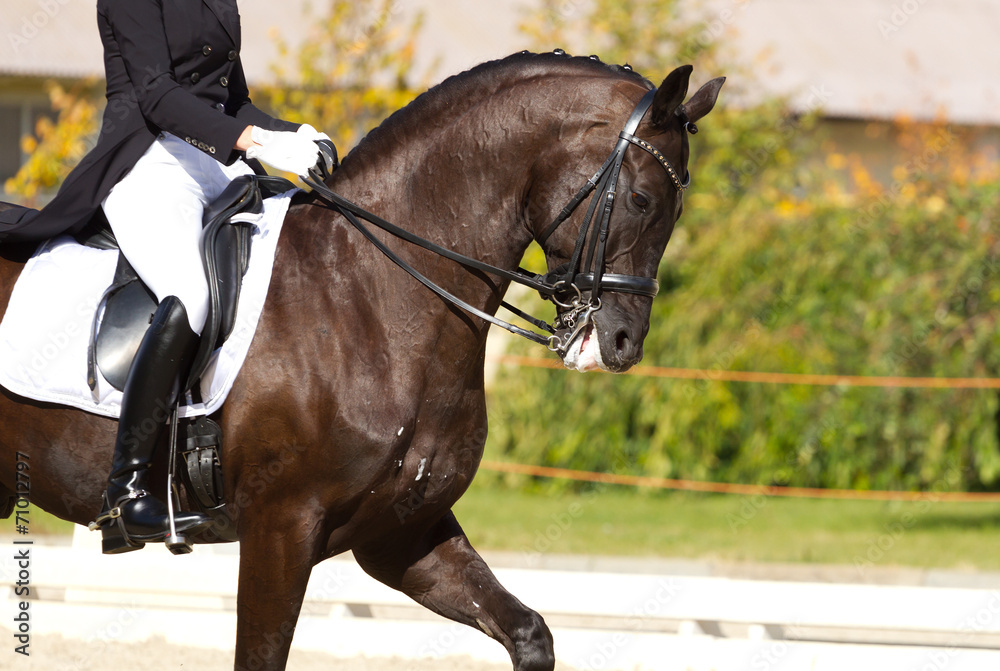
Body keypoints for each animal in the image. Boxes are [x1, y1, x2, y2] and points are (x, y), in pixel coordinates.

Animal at [0, 51, 723, 671]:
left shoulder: (400, 533)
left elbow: (529, 632)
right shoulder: (280, 529)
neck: (371, 293)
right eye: (642, 200)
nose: (622, 343)